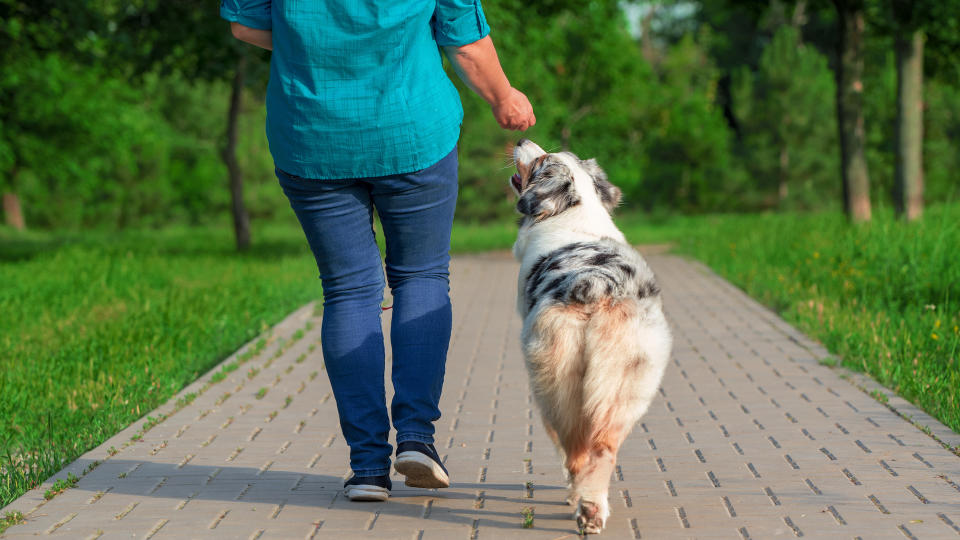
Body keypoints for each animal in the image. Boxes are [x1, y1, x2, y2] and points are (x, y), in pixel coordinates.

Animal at [506, 137, 672, 532]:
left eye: (540, 160)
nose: (521, 138)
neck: (574, 212)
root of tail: (596, 284)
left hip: (553, 384)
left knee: (575, 447)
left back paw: (580, 503)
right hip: (630, 380)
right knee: (604, 447)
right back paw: (593, 509)